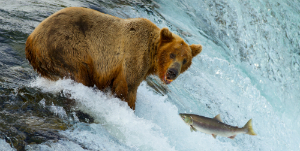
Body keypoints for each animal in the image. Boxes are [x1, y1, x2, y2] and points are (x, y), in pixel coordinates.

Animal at [25, 6, 203, 109]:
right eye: (172, 54)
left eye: (185, 60)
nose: (173, 72)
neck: (152, 55)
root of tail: (30, 40)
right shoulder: (133, 56)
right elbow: (126, 88)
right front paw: (129, 108)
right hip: (66, 47)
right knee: (79, 74)